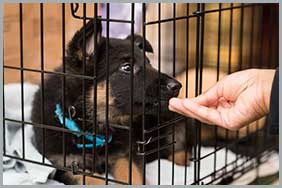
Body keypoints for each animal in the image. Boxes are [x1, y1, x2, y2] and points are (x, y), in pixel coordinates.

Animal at [30, 18, 181, 184]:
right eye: (127, 67)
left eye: (149, 63)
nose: (177, 86)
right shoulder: (65, 165)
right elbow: (94, 180)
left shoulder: (125, 154)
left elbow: (133, 176)